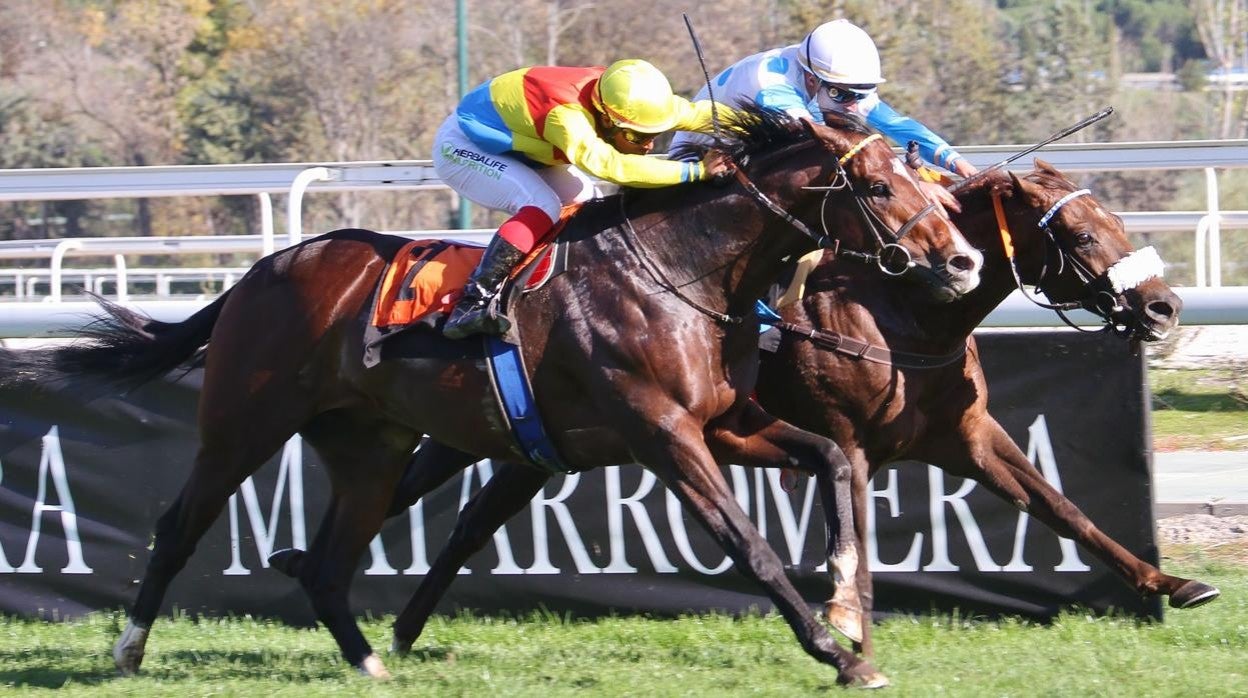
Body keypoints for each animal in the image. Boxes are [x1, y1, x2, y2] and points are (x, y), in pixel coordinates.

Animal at [9, 109, 983, 689]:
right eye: (881, 185)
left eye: (921, 175)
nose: (965, 260)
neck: (684, 271)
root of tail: (261, 271)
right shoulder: (662, 433)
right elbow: (748, 543)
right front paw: (836, 653)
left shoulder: (722, 423)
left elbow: (835, 458)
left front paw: (848, 608)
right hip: (241, 425)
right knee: (181, 526)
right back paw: (128, 650)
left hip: (370, 444)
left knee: (331, 560)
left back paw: (371, 663)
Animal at [354, 161, 1218, 669]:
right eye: (1077, 231)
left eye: (1116, 221)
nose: (1164, 306)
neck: (902, 312)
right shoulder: (846, 440)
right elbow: (854, 538)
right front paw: (849, 630)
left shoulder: (967, 435)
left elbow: (1062, 506)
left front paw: (1171, 583)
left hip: (536, 448)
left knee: (468, 523)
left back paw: (396, 630)